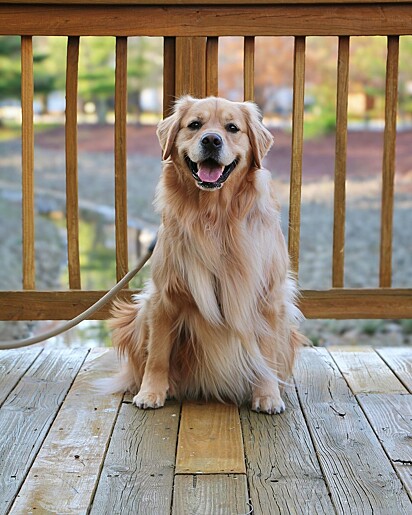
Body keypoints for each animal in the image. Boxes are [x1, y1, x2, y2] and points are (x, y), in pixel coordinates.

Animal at [109, 95, 302, 416]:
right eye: (195, 125)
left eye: (232, 128)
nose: (211, 140)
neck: (215, 217)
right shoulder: (164, 297)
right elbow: (157, 354)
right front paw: (151, 392)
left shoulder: (268, 299)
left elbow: (266, 355)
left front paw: (267, 395)